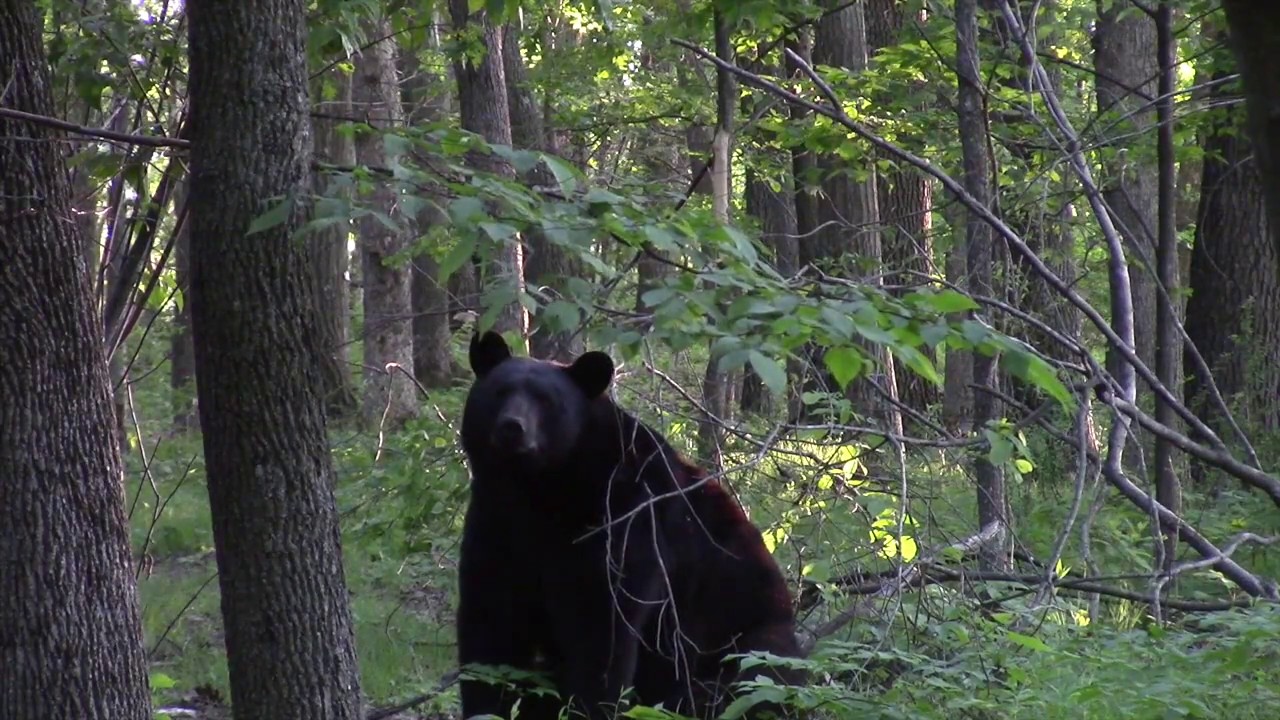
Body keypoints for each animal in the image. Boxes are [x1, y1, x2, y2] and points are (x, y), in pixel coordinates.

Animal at [456, 331, 806, 720]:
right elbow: (490, 623)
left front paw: (590, 706)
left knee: (754, 677)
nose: (512, 427)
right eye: (500, 391)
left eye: (546, 400)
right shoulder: (496, 520)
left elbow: (601, 627)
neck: (541, 489)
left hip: (748, 637)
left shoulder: (623, 518)